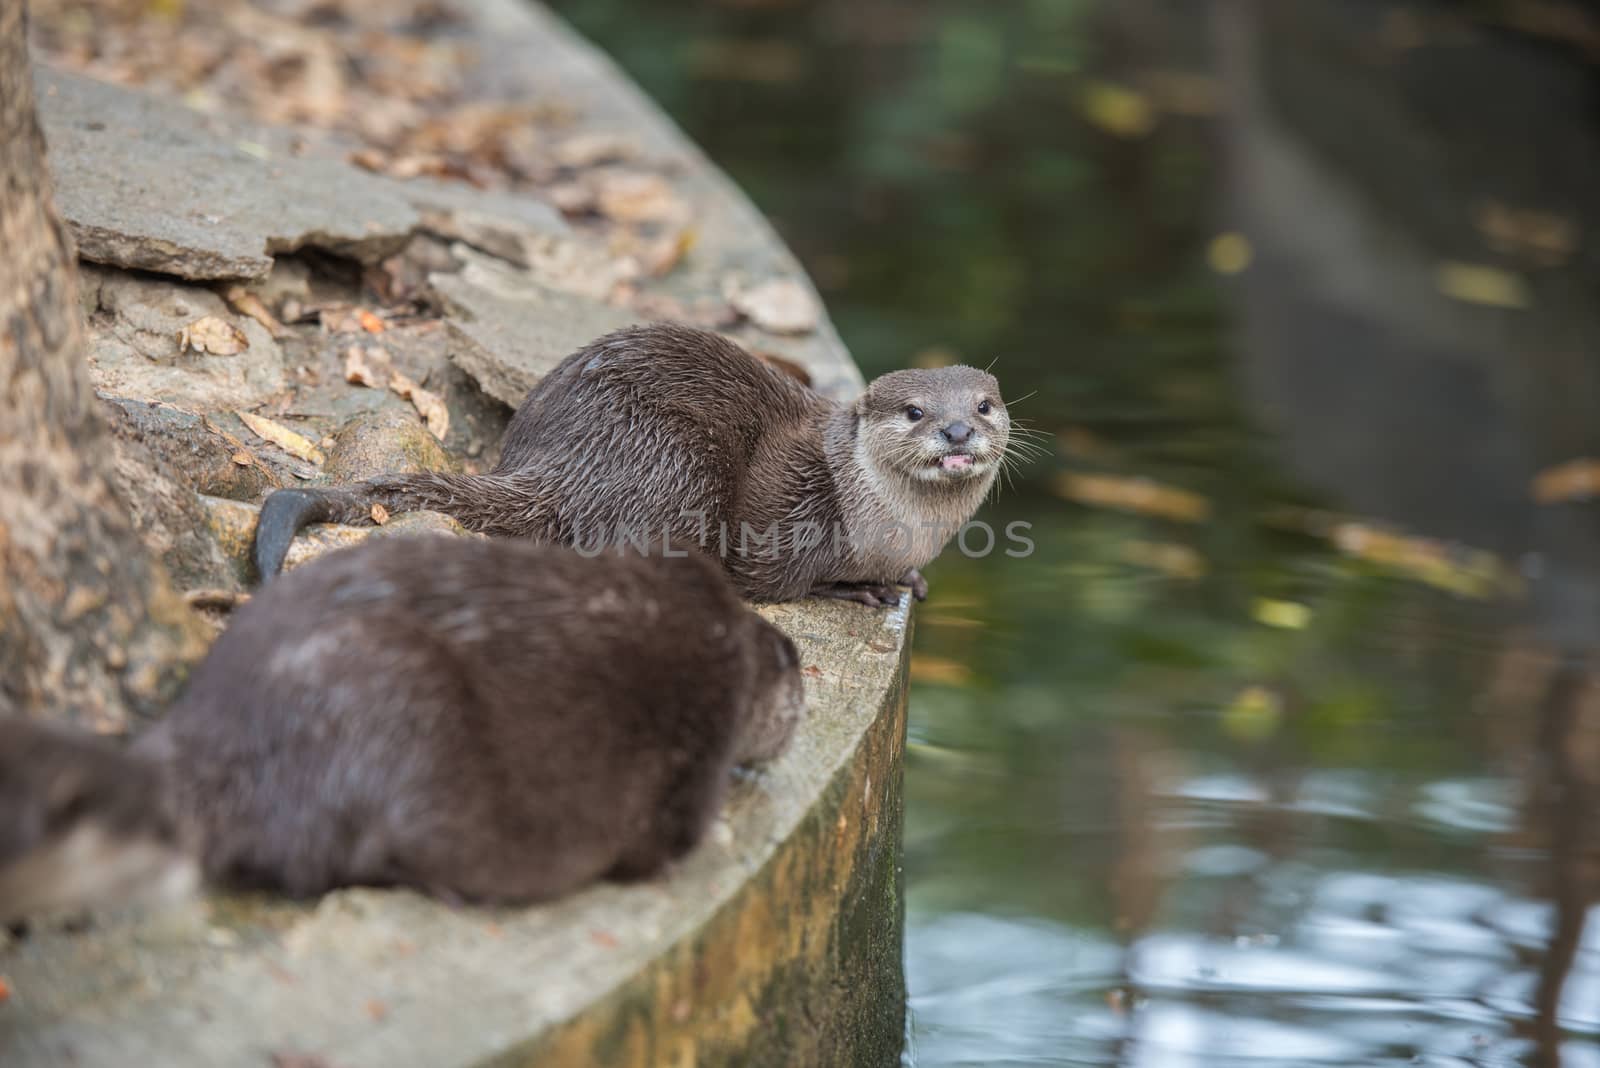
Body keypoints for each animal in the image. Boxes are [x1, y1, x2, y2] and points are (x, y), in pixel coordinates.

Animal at [254, 321, 1004, 604]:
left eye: (986, 404)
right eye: (915, 411)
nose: (957, 429)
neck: (888, 526)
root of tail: (566, 463)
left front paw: (906, 578)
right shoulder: (791, 509)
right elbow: (771, 581)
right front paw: (857, 588)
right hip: (675, 460)